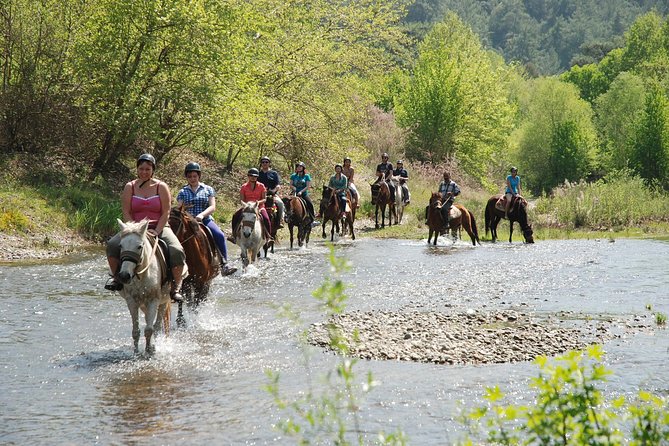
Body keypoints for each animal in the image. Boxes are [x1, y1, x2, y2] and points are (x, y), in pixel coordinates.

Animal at [117, 219, 172, 356]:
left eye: (139, 246)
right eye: (120, 246)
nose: (124, 275)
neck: (142, 275)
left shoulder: (154, 300)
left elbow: (149, 329)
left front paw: (148, 351)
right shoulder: (132, 301)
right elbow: (135, 331)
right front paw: (136, 352)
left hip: (163, 301)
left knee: (157, 326)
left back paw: (155, 346)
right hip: (144, 304)